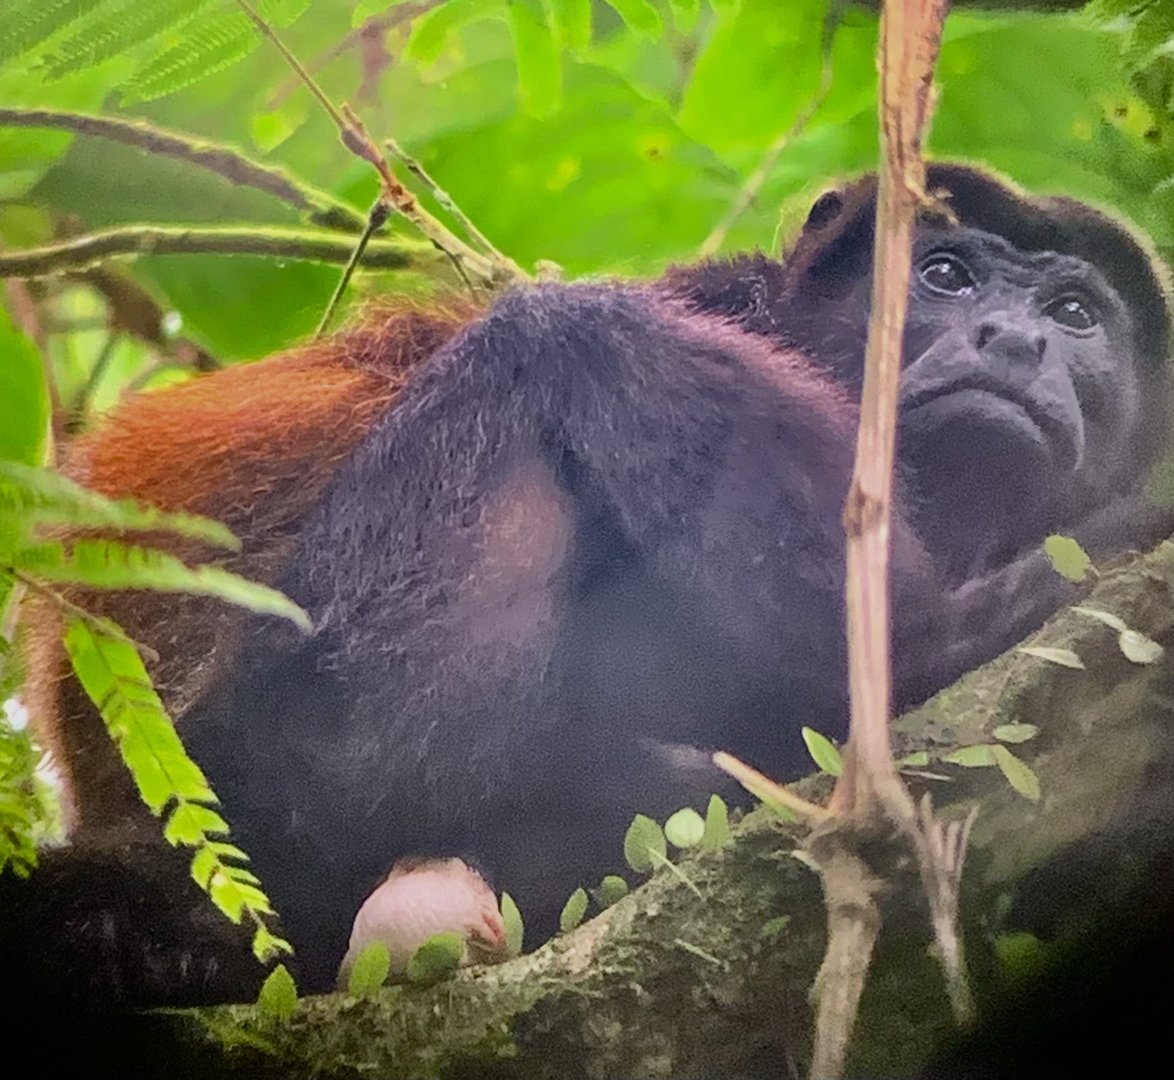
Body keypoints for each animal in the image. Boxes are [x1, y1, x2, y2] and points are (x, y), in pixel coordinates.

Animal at [3, 164, 1170, 1008]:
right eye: (946, 276)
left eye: (1075, 312)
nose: (1013, 338)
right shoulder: (725, 300)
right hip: (261, 749)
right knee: (565, 340)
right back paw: (938, 645)